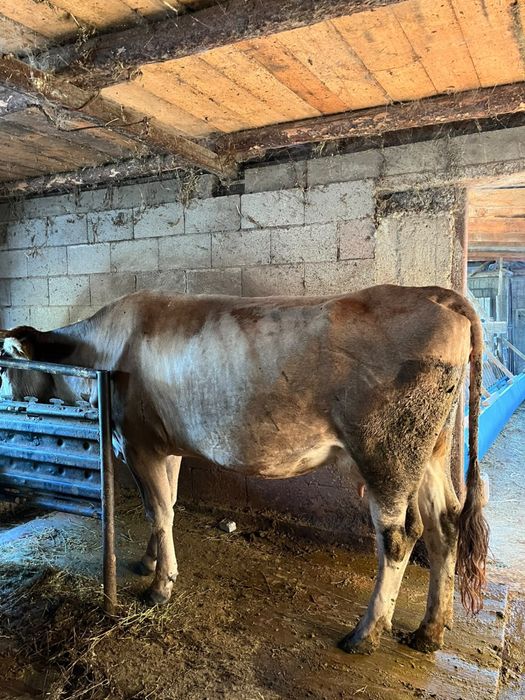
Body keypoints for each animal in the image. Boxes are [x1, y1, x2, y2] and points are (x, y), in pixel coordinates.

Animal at [0, 284, 488, 655]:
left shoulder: (138, 442)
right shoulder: (166, 445)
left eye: (6, 364)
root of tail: (435, 294)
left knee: (399, 538)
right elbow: (165, 507)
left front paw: (160, 587)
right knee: (444, 524)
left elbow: (157, 510)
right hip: (431, 451)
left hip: (386, 455)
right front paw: (150, 561)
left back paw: (365, 634)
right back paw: (429, 629)